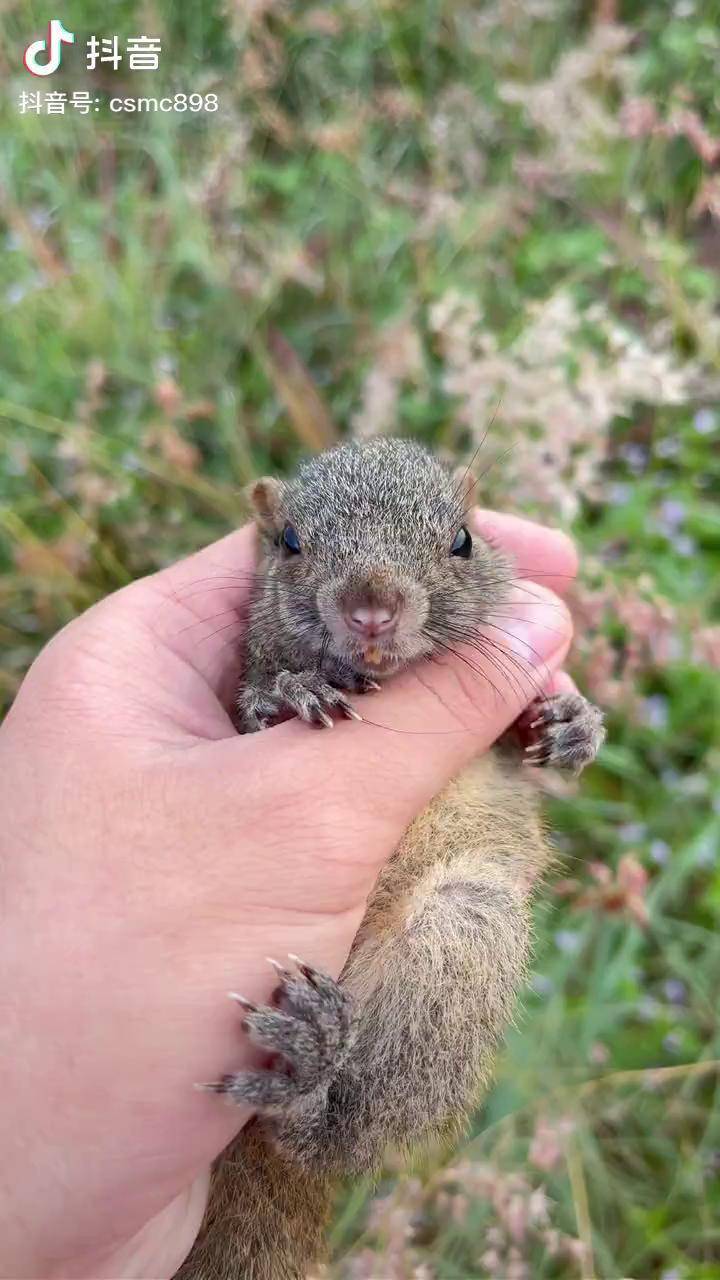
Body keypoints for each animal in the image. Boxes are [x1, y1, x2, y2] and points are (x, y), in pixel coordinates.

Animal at [176, 440, 602, 1280]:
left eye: (463, 540)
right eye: (290, 543)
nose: (372, 605)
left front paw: (573, 724)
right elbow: (254, 706)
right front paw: (288, 693)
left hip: (464, 928)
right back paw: (306, 1078)